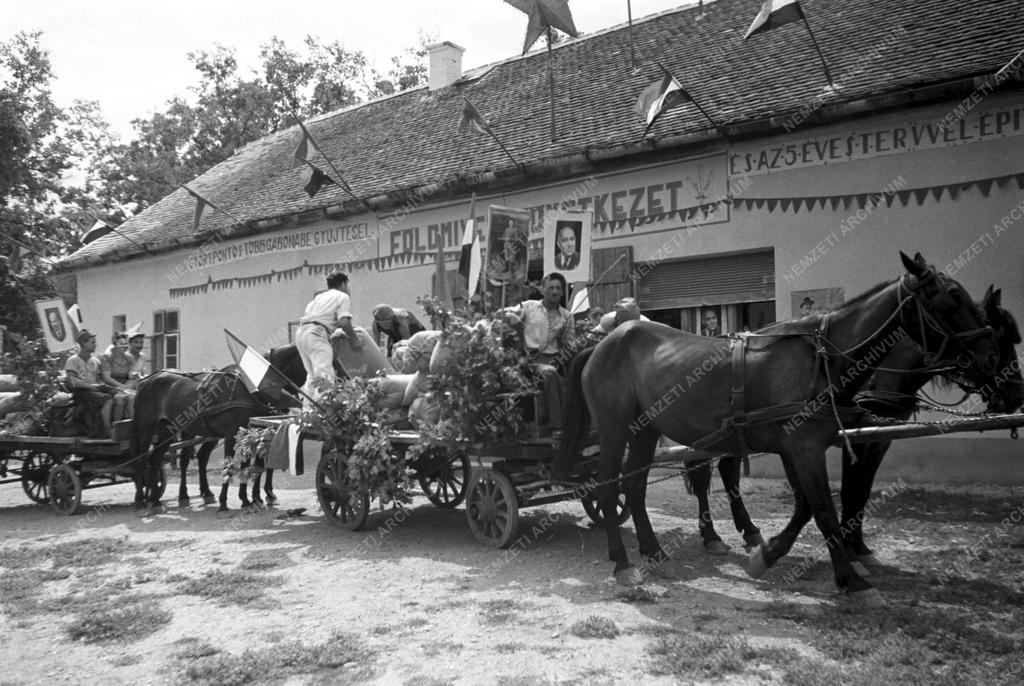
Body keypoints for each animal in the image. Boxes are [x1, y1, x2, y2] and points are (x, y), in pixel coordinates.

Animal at [557, 253, 995, 602]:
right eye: (951, 297)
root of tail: (600, 344)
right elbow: (824, 511)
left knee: (633, 486)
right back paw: (622, 562)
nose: (989, 361)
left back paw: (653, 550)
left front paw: (765, 556)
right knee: (610, 488)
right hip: (614, 429)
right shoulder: (804, 449)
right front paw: (853, 580)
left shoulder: (794, 449)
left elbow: (806, 508)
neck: (821, 360)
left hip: (646, 429)